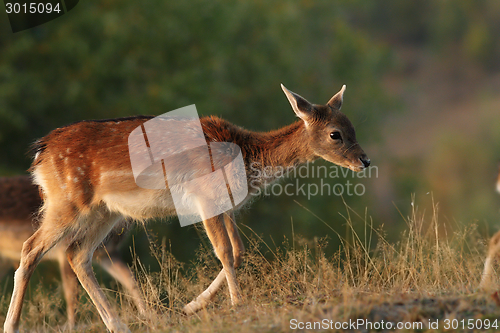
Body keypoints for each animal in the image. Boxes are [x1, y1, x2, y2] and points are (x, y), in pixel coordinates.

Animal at [0, 175, 146, 328]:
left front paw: (147, 316)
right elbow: (72, 294)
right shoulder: (65, 250)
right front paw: (71, 326)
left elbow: (131, 280)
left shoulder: (106, 253)